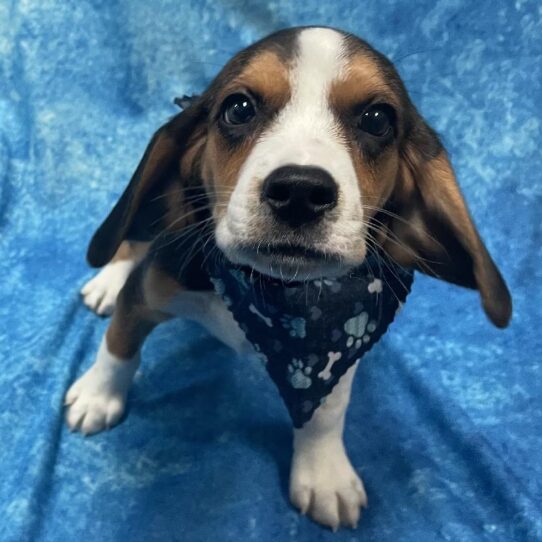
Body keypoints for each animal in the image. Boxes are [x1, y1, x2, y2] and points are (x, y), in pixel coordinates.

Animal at [66, 27, 512, 532]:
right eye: (238, 108)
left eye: (378, 119)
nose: (300, 191)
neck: (269, 291)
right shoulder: (150, 287)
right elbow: (118, 345)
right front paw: (98, 395)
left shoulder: (342, 352)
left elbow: (328, 411)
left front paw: (323, 473)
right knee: (132, 237)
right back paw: (107, 279)